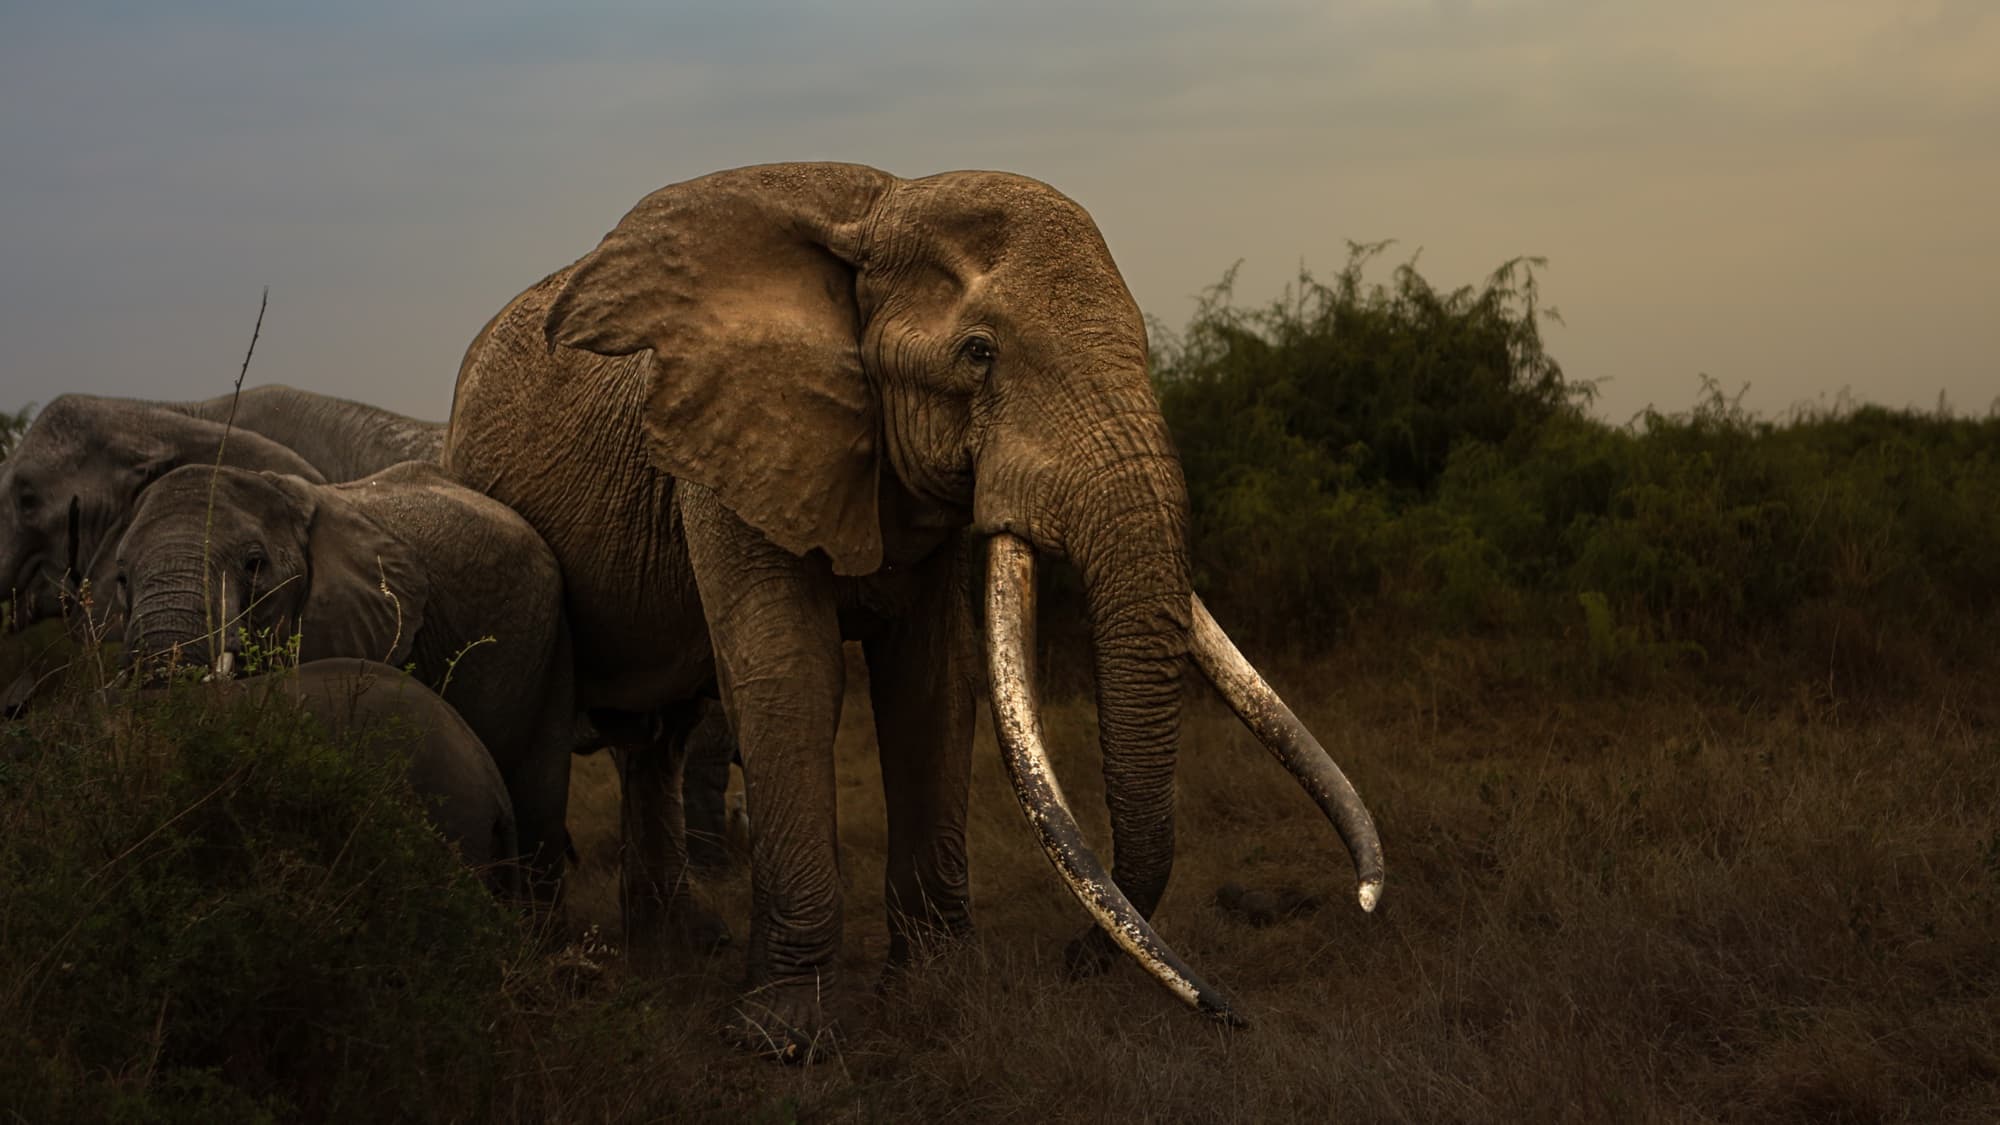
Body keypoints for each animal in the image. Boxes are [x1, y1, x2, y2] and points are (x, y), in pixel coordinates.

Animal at [442, 161, 1384, 1057]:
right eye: (978, 353)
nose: (1074, 959)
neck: (881, 205)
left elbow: (932, 681)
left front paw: (939, 989)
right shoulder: (726, 447)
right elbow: (789, 676)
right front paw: (784, 1038)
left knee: (654, 744)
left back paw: (672, 954)